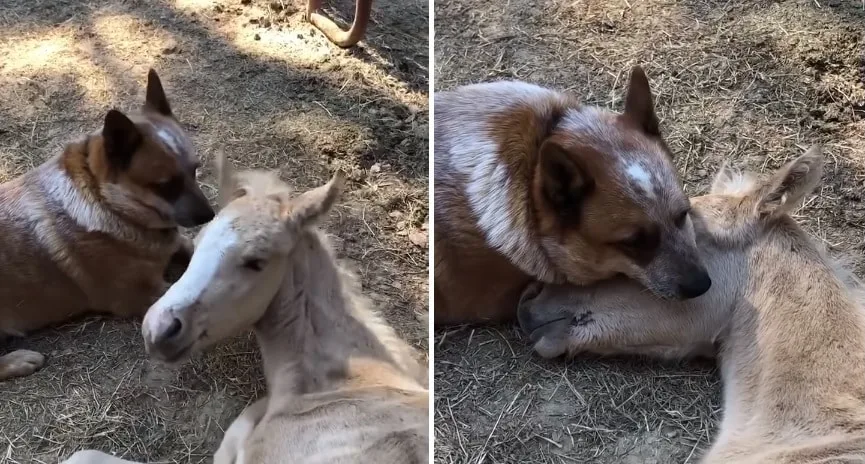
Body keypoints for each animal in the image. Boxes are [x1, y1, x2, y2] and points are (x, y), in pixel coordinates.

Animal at [0, 70, 214, 380]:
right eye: (166, 186)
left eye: (195, 170)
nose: (210, 215)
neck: (109, 204)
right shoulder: (140, 294)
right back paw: (18, 360)